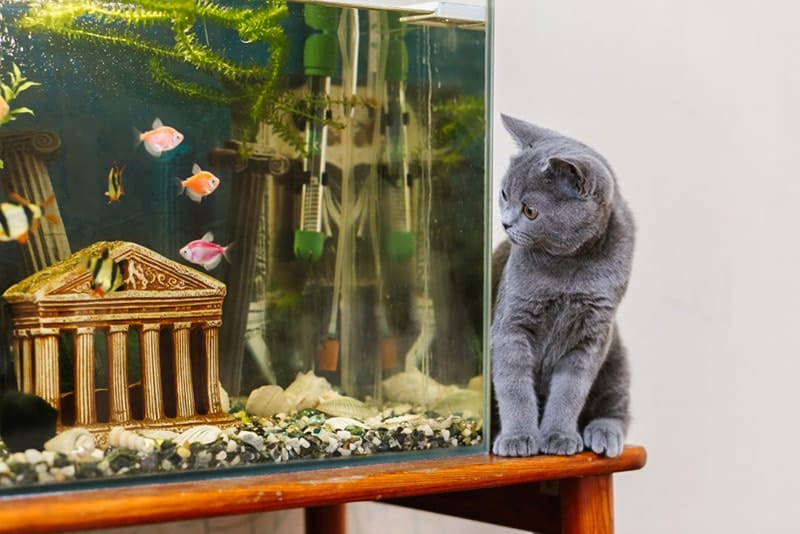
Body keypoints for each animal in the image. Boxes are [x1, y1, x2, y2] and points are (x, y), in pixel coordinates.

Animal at [490, 115, 636, 458]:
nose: (505, 223)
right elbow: (514, 386)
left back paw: (603, 433)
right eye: (503, 194)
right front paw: (518, 437)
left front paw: (558, 436)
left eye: (530, 211)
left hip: (616, 356)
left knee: (616, 406)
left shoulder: (592, 336)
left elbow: (570, 392)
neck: (570, 268)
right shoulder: (511, 324)